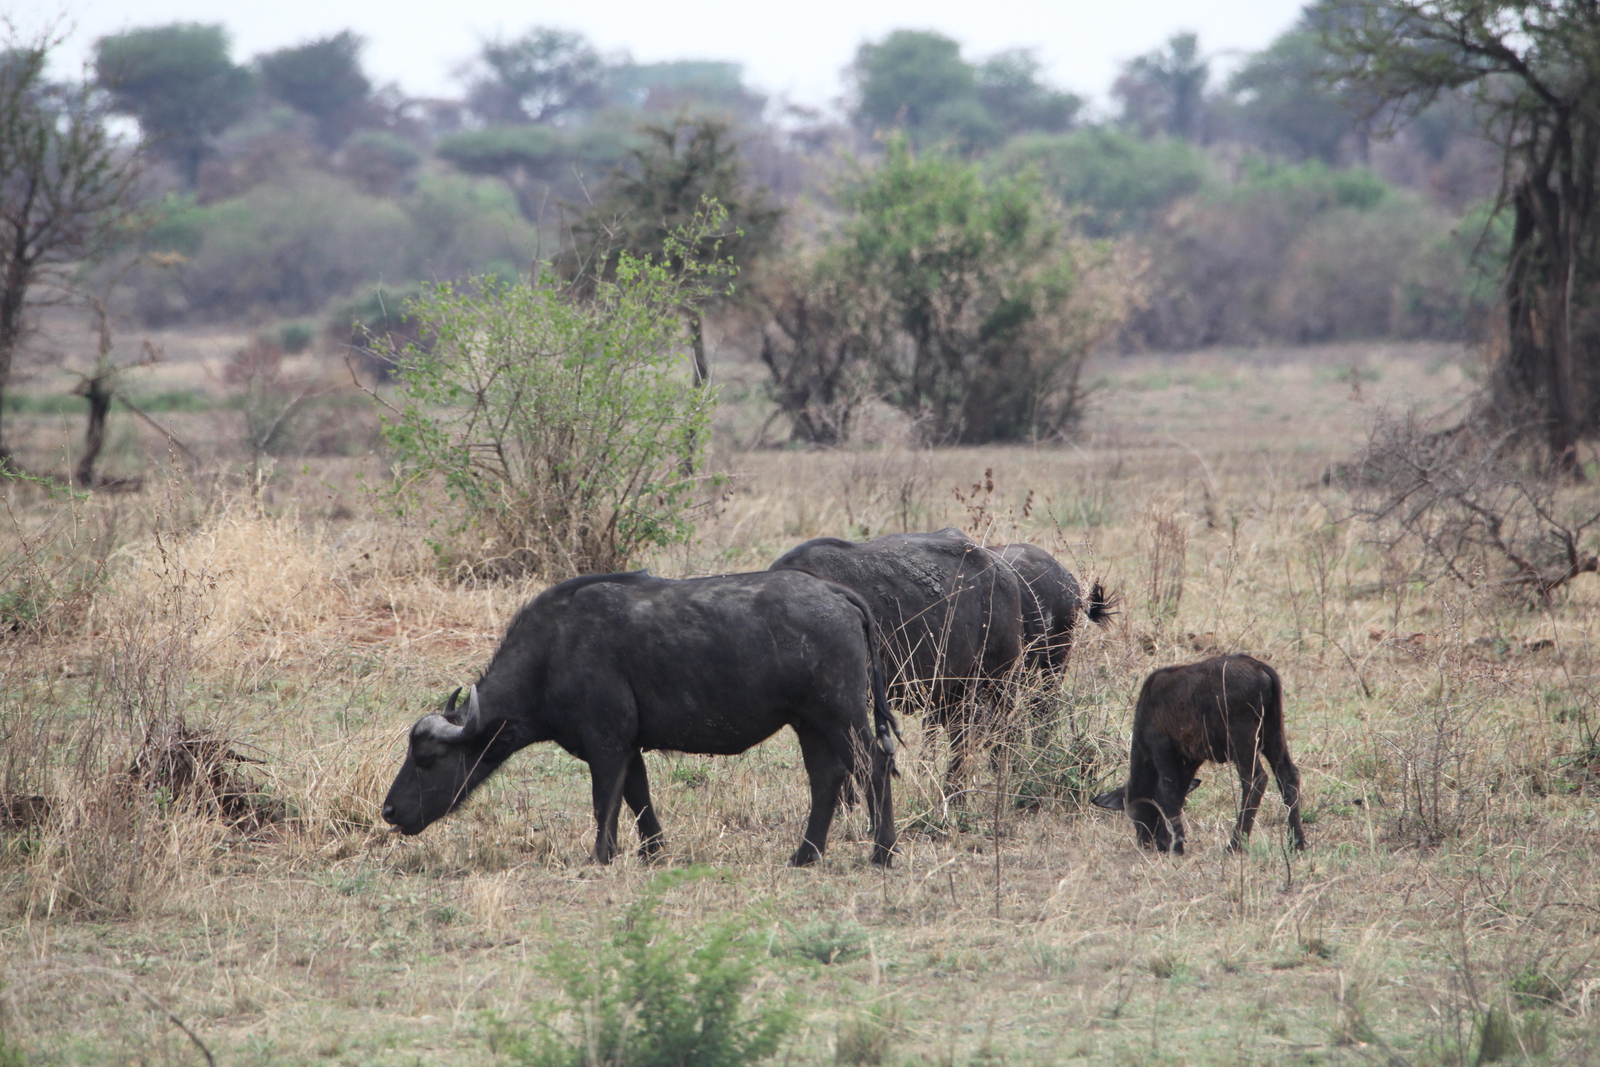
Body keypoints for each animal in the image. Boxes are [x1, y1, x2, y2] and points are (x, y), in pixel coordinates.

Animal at [1088, 655, 1299, 857]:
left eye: (1134, 811)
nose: (1145, 843)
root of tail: (1258, 667)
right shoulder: (1190, 761)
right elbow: (1178, 795)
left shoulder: (1160, 749)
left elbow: (1167, 791)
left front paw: (1177, 847)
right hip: (1272, 734)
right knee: (1288, 776)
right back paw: (1297, 844)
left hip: (1243, 742)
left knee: (1255, 780)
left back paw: (1233, 846)